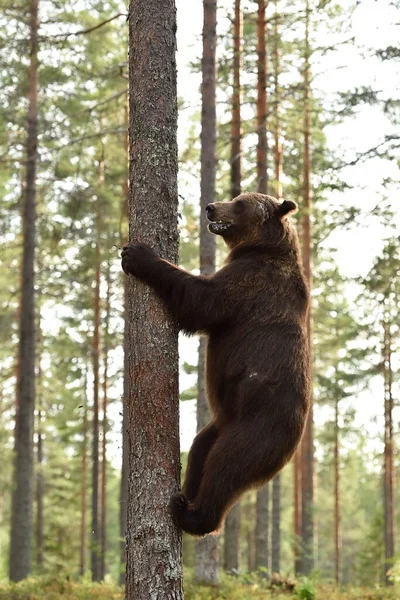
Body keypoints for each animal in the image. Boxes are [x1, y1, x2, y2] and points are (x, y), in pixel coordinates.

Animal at [120, 191, 310, 536]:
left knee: (227, 465)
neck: (262, 247)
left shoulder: (250, 283)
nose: (210, 207)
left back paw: (191, 515)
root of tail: (294, 448)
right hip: (222, 422)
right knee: (201, 449)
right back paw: (185, 494)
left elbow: (202, 301)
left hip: (258, 424)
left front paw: (138, 254)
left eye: (240, 202)